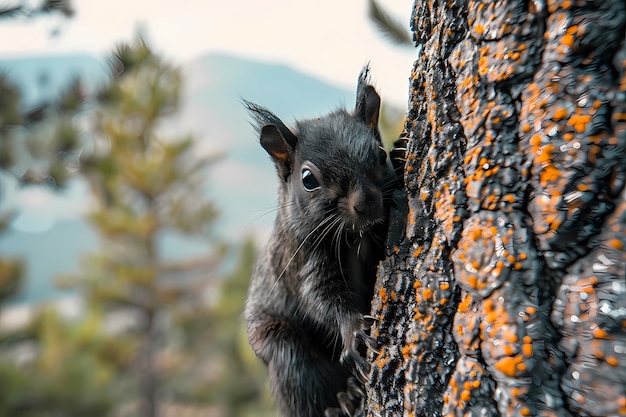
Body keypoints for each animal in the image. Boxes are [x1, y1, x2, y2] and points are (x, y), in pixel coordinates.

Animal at [243, 66, 392, 416]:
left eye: (381, 154)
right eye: (308, 179)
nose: (367, 202)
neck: (353, 237)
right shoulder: (302, 260)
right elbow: (321, 299)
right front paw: (354, 330)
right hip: (284, 351)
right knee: (303, 387)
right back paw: (342, 400)